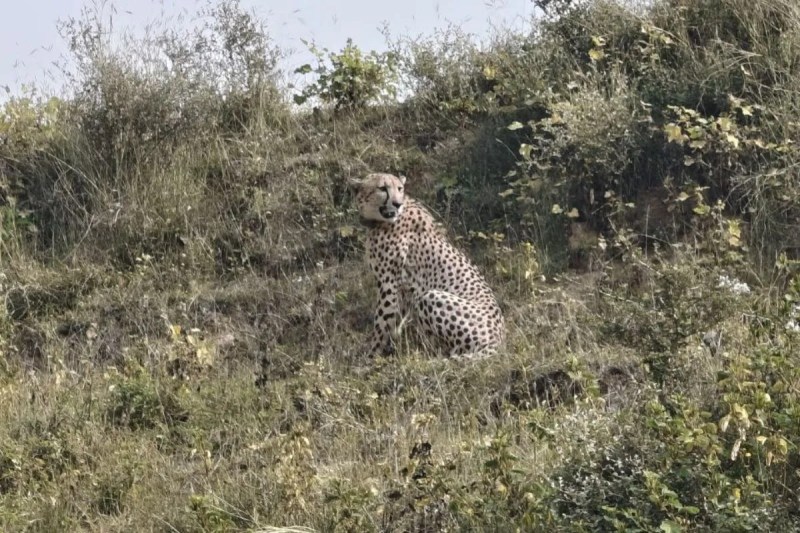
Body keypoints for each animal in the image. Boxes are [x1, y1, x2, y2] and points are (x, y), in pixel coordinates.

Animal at [351, 172, 505, 360]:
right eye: (382, 188)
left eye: (399, 188)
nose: (397, 204)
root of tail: (498, 340)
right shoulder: (403, 290)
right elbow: (395, 320)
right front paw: (389, 348)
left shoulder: (389, 284)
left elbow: (382, 322)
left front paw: (371, 357)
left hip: (430, 296)